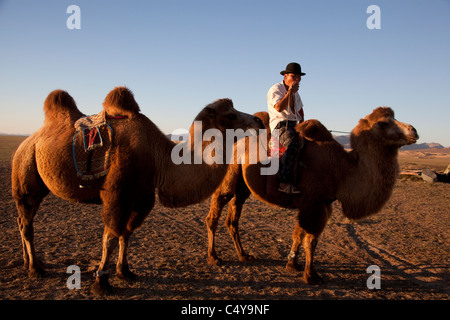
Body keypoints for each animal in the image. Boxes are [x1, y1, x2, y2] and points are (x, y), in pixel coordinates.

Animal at [10, 85, 264, 296]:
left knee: (23, 221)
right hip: (25, 169)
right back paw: (34, 268)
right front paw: (101, 283)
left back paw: (28, 262)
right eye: (231, 115)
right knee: (26, 221)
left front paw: (125, 272)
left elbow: (127, 233)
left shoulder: (142, 198)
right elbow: (110, 237)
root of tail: (27, 141)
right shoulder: (117, 195)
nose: (259, 122)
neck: (162, 159)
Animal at [207, 108, 418, 284]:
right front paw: (311, 275)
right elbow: (311, 240)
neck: (342, 169)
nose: (414, 130)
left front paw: (293, 265)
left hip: (243, 187)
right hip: (229, 176)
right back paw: (214, 257)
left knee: (233, 218)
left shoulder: (321, 204)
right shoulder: (314, 203)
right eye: (383, 123)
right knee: (214, 214)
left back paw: (244, 255)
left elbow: (298, 234)